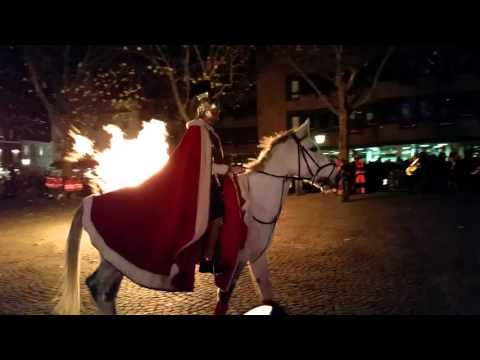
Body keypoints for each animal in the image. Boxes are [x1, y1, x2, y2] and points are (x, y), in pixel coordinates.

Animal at [53, 119, 338, 314]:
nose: (336, 175)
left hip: (116, 260)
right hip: (118, 258)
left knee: (102, 289)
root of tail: (90, 200)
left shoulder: (254, 257)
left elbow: (265, 294)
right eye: (314, 147)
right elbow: (225, 300)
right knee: (100, 288)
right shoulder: (235, 260)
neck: (256, 198)